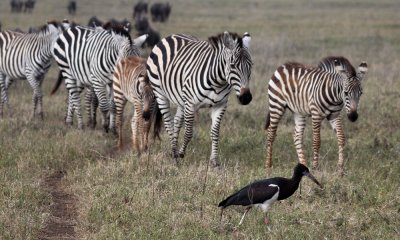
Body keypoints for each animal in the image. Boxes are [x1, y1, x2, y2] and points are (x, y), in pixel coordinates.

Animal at [147, 31, 253, 166]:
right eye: (232, 65)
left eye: (251, 66)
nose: (246, 98)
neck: (218, 82)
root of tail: (171, 36)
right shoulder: (190, 104)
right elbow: (188, 133)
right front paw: (181, 153)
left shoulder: (220, 105)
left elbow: (215, 132)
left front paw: (214, 161)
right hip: (160, 93)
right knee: (168, 124)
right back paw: (175, 154)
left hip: (181, 100)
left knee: (176, 122)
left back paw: (174, 151)